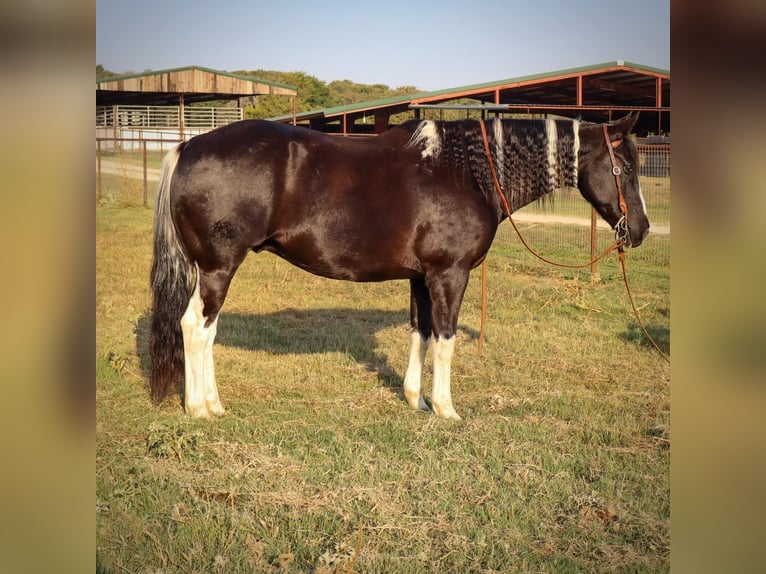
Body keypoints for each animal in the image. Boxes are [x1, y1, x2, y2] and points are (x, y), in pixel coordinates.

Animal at [149, 112, 650, 420]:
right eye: (624, 167)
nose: (641, 230)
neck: (466, 172)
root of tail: (187, 147)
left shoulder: (421, 278)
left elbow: (420, 334)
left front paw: (416, 400)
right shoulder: (450, 274)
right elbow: (445, 340)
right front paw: (446, 409)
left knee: (207, 331)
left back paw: (213, 403)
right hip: (218, 268)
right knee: (195, 327)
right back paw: (200, 409)